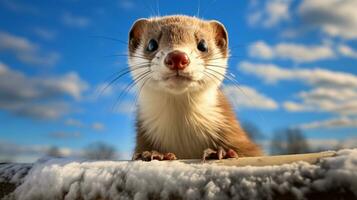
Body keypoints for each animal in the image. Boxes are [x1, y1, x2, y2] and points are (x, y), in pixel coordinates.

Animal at [128, 14, 262, 160]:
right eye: (151, 44)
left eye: (203, 45)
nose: (177, 57)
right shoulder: (142, 140)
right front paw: (154, 153)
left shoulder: (237, 137)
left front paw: (222, 152)